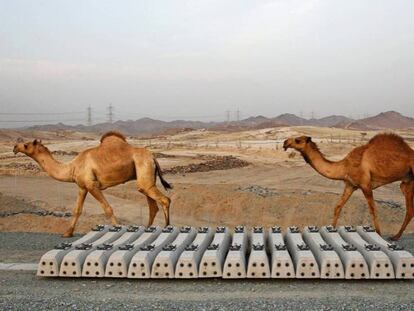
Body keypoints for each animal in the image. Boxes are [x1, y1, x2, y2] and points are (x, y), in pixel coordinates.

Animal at [12, 130, 171, 238]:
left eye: (25, 145)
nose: (15, 147)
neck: (72, 166)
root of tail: (152, 157)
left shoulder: (92, 185)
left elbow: (108, 209)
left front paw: (117, 229)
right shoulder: (82, 187)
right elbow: (77, 210)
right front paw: (67, 233)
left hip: (144, 170)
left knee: (165, 200)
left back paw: (166, 228)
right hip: (145, 178)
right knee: (152, 205)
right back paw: (147, 230)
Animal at [284, 133, 414, 240]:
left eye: (298, 140)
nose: (285, 142)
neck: (345, 166)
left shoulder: (366, 185)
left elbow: (373, 210)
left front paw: (379, 235)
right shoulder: (350, 185)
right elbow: (338, 207)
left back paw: (395, 237)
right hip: (407, 182)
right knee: (409, 209)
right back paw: (396, 236)